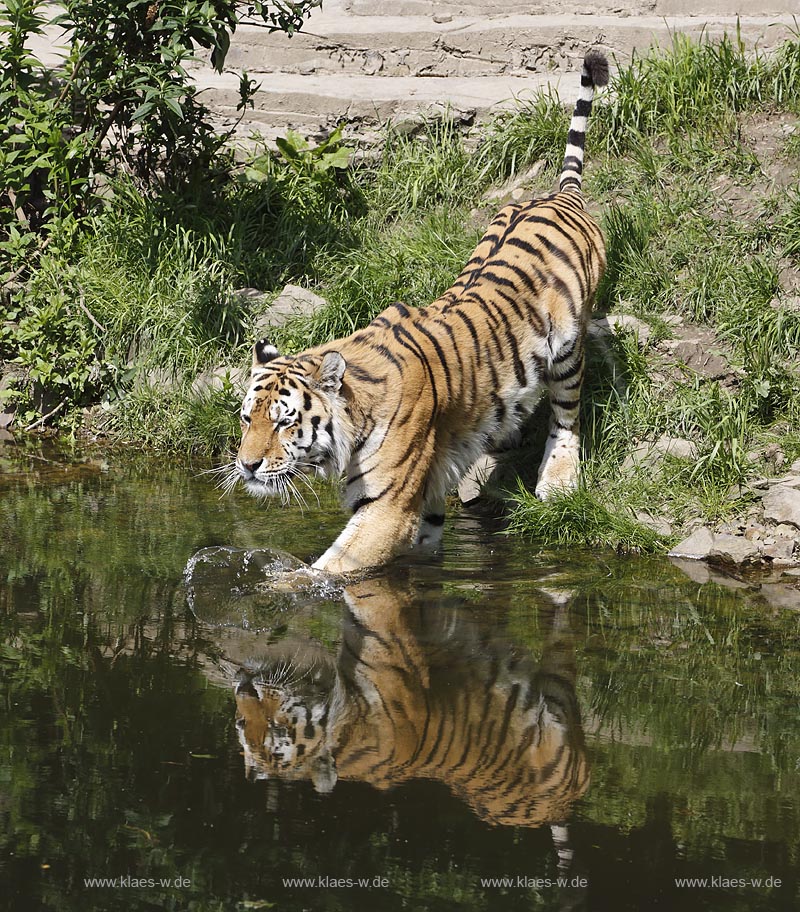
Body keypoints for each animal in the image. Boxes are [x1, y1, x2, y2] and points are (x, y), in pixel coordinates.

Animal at [234, 48, 608, 568]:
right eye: (247, 418)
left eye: (284, 421)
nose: (246, 465)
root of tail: (559, 195)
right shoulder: (424, 498)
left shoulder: (387, 507)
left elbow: (322, 573)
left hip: (568, 346)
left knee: (566, 414)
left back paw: (558, 482)